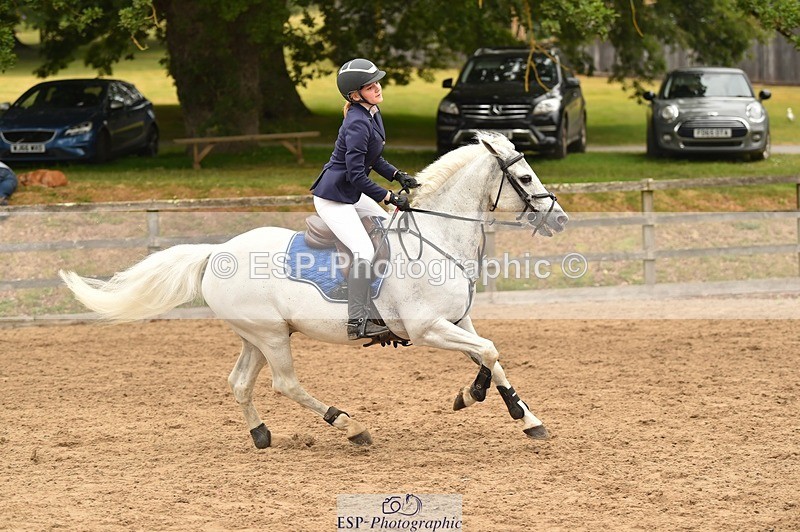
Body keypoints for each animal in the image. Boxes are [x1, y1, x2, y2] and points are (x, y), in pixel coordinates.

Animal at [59, 131, 568, 448]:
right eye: (525, 178)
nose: (559, 218)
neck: (438, 238)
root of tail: (216, 251)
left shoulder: (459, 320)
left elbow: (491, 355)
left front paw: (525, 418)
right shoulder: (428, 328)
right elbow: (488, 352)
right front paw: (474, 396)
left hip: (257, 335)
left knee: (240, 382)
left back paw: (261, 435)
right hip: (271, 336)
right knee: (284, 383)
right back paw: (350, 426)